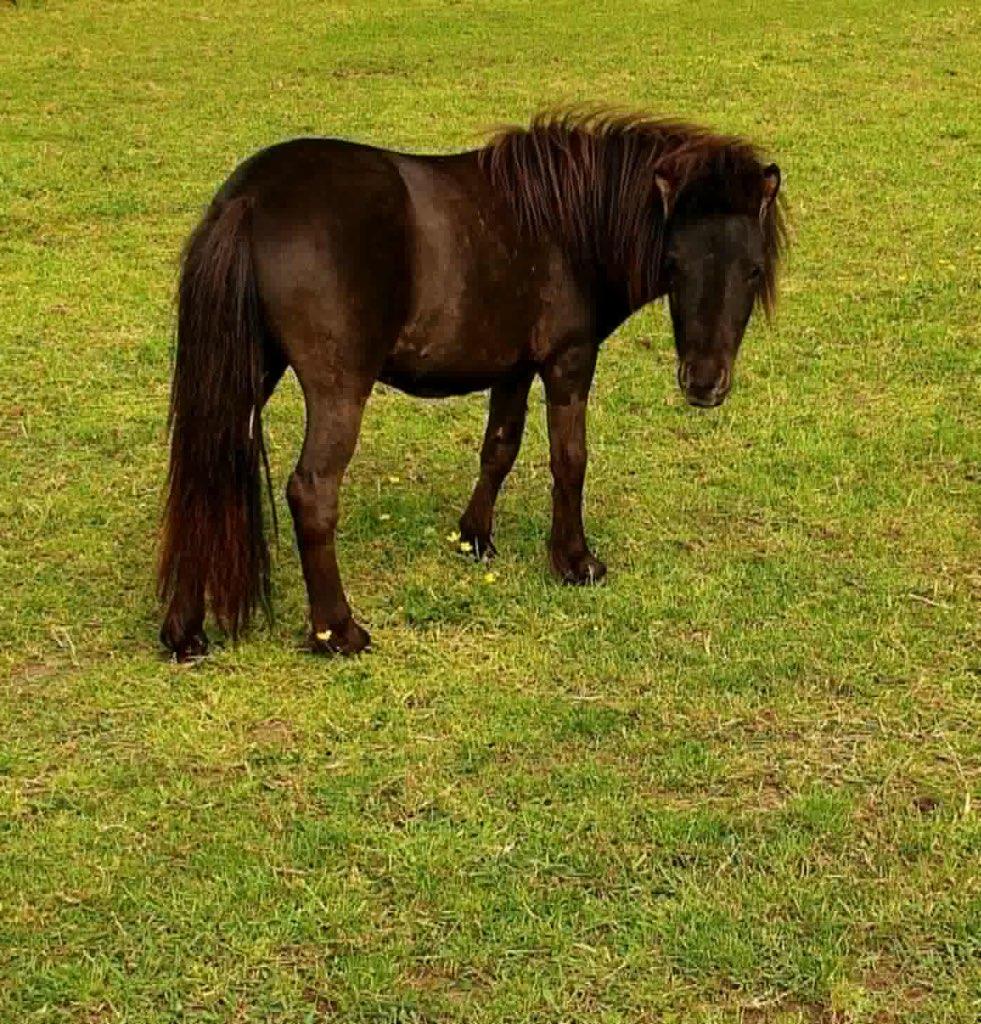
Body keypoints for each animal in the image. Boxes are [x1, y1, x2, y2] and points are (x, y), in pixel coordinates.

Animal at [158, 110, 787, 660]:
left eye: (752, 269)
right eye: (674, 264)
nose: (703, 384)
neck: (566, 228)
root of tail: (248, 199)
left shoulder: (513, 369)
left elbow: (499, 448)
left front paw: (475, 538)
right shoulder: (568, 361)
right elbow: (570, 459)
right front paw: (575, 561)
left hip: (249, 372)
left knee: (205, 471)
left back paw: (185, 633)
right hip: (338, 389)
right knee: (311, 492)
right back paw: (338, 632)